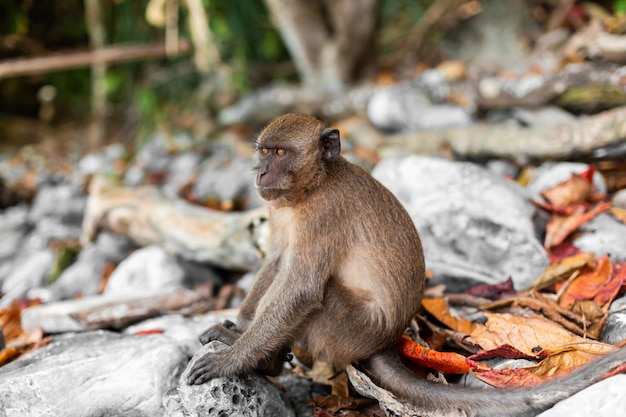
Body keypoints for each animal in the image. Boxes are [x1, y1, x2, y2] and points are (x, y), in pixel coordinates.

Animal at [186, 114, 624, 416]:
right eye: (264, 151)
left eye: (281, 153)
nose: (261, 172)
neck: (312, 186)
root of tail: (385, 341)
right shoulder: (280, 209)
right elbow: (277, 261)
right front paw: (236, 330)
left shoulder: (322, 215)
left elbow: (302, 288)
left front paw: (232, 358)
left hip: (348, 329)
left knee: (319, 297)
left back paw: (271, 362)